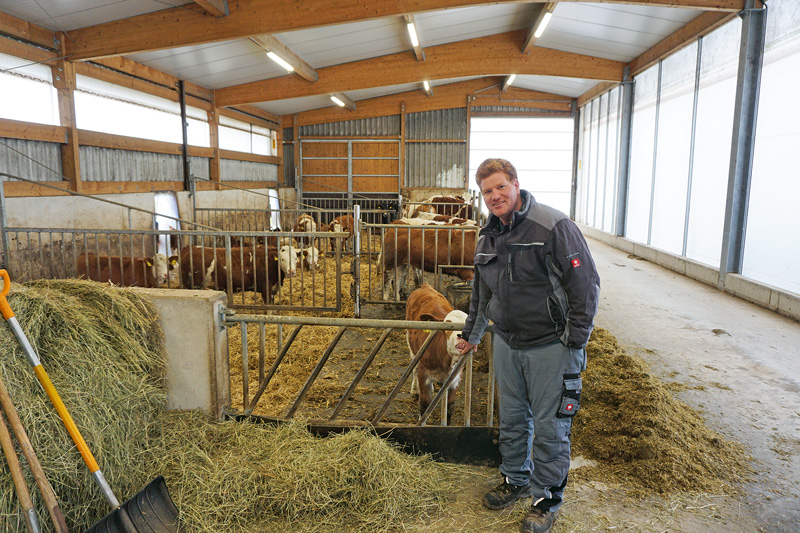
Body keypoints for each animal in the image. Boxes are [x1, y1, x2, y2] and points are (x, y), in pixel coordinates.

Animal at [406, 282, 468, 424]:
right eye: (448, 326)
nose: (462, 336)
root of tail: (425, 286)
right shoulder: (423, 373)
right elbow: (424, 404)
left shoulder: (455, 378)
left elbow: (450, 407)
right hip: (410, 344)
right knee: (414, 368)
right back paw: (414, 390)